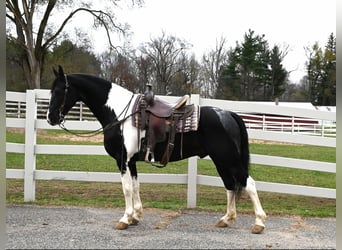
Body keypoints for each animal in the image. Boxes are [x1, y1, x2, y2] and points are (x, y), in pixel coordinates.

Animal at [46, 66, 266, 232]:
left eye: (58, 91)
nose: (50, 118)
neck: (120, 114)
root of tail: (229, 114)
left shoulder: (122, 159)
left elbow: (126, 188)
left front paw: (125, 219)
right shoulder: (131, 161)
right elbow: (135, 186)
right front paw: (135, 216)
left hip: (229, 159)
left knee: (249, 184)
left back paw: (259, 222)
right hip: (221, 161)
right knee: (230, 185)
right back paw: (226, 219)